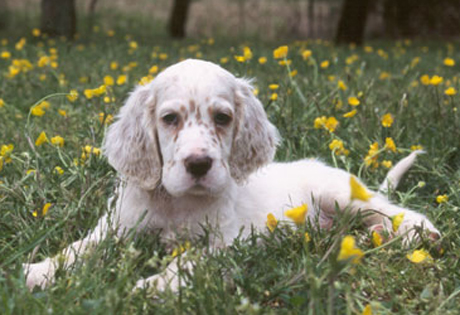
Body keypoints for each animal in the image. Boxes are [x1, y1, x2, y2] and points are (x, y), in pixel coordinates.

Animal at [23, 58, 440, 292]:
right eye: (169, 118)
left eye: (222, 118)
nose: (198, 164)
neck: (175, 204)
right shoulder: (116, 229)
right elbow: (79, 248)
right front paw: (38, 272)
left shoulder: (226, 241)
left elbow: (188, 262)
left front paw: (156, 285)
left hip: (340, 195)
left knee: (389, 209)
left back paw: (415, 232)